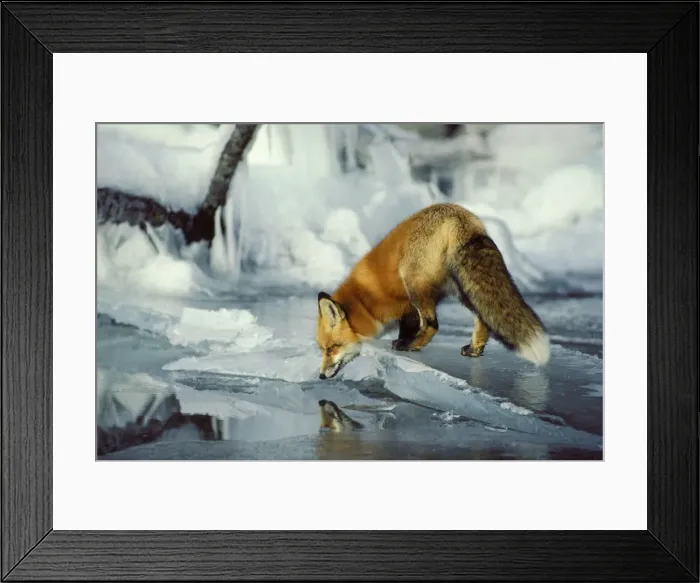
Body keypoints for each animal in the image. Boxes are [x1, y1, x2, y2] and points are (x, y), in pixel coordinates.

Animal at [315, 203, 549, 379]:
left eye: (330, 349)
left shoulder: (405, 303)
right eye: (323, 350)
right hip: (463, 287)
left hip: (413, 281)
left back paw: (412, 346)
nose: (321, 376)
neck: (364, 302)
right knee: (482, 319)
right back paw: (474, 350)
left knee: (433, 324)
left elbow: (410, 326)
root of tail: (458, 215)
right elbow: (408, 323)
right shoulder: (408, 308)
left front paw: (403, 343)